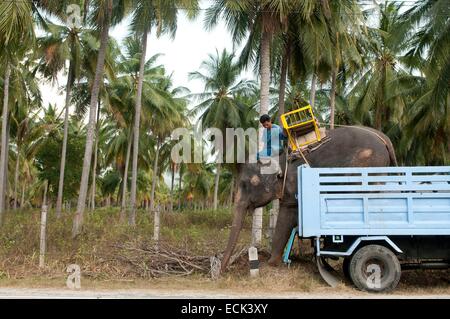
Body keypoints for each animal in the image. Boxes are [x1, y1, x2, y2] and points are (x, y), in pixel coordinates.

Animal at [221, 126, 398, 274]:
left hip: (366, 167)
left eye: (246, 184)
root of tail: (385, 139)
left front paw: (270, 264)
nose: (222, 272)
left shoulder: (293, 184)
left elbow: (286, 217)